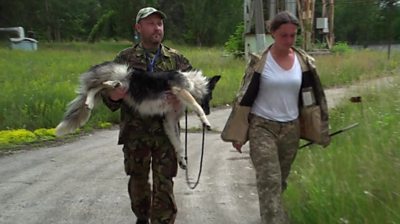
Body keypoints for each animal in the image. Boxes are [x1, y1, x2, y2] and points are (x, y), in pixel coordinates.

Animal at [54, 60, 220, 169]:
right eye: (211, 96)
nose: (209, 111)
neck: (192, 82)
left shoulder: (170, 120)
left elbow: (178, 144)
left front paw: (182, 160)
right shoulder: (179, 90)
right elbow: (196, 105)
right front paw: (205, 120)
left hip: (116, 86)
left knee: (97, 89)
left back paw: (90, 102)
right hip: (122, 75)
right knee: (99, 85)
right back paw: (104, 89)